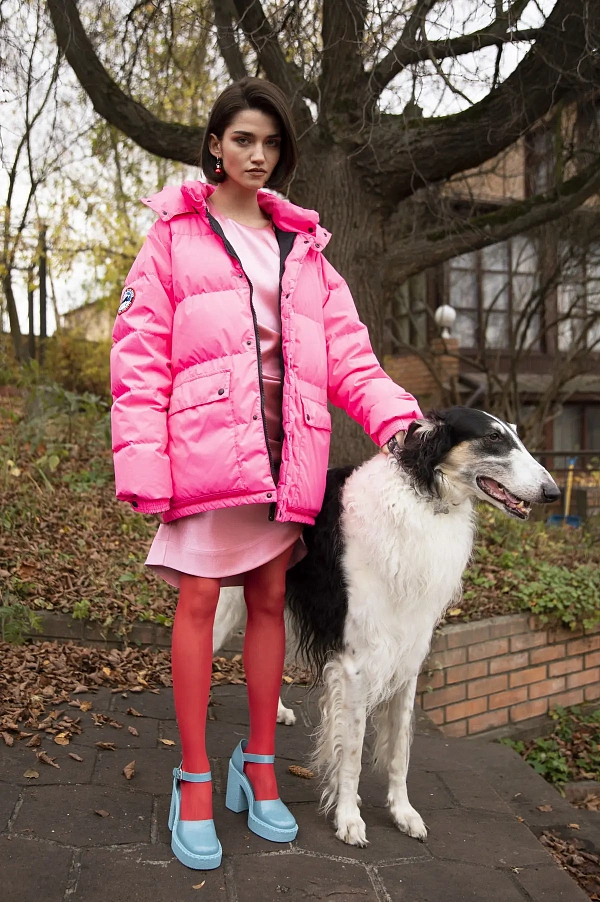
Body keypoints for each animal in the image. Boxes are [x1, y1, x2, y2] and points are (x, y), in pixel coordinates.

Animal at [213, 407, 560, 846]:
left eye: (515, 434)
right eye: (493, 438)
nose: (552, 492)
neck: (422, 500)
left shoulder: (408, 658)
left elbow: (399, 753)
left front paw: (403, 814)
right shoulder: (355, 664)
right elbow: (352, 753)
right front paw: (348, 818)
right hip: (225, 606)